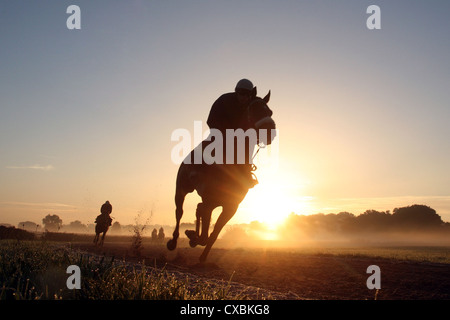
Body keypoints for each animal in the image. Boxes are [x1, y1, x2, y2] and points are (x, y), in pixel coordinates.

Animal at [167, 91, 276, 262]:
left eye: (270, 112)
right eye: (254, 109)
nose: (270, 130)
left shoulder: (231, 206)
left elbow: (213, 234)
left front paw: (203, 255)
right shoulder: (210, 199)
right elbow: (205, 233)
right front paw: (192, 236)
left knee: (199, 208)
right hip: (182, 189)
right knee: (180, 211)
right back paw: (174, 241)